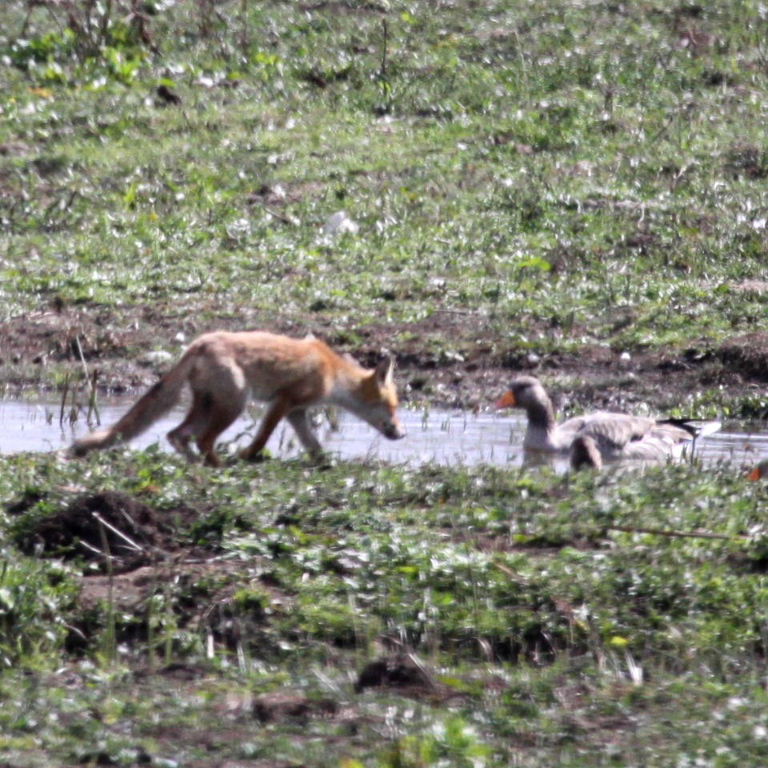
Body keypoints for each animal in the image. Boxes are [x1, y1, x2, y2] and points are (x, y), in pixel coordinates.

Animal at [71, 330, 406, 466]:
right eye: (392, 407)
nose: (402, 434)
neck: (332, 373)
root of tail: (199, 344)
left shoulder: (297, 412)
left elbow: (314, 445)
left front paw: (325, 464)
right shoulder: (283, 402)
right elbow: (262, 437)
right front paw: (247, 456)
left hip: (208, 405)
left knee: (177, 435)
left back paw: (199, 465)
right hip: (234, 404)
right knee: (202, 439)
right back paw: (220, 466)